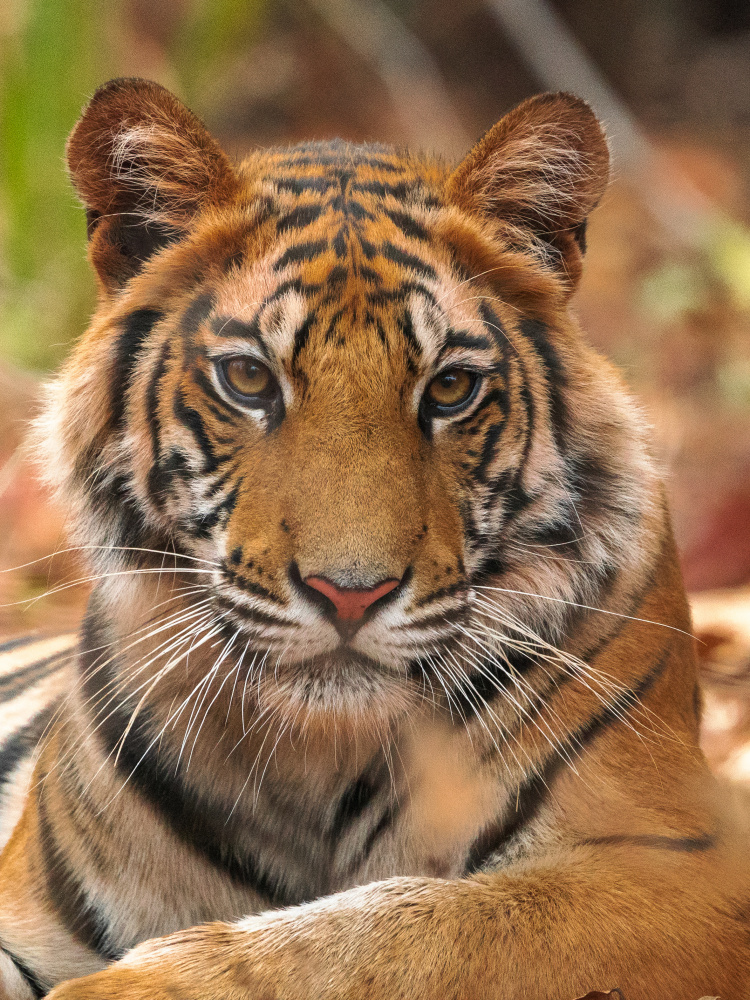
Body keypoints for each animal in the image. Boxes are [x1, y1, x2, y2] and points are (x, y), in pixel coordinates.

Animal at [0, 76, 748, 1000]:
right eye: (248, 378)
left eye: (451, 388)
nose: (349, 595)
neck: (316, 756)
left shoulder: (681, 865)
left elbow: (408, 927)